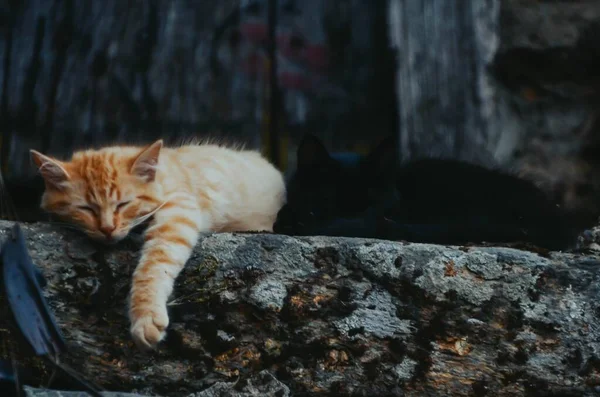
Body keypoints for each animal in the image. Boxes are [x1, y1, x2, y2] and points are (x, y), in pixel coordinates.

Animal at [29, 140, 288, 350]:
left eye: (123, 204)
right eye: (86, 208)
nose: (107, 228)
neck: (160, 177)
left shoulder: (179, 208)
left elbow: (153, 265)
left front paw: (145, 317)